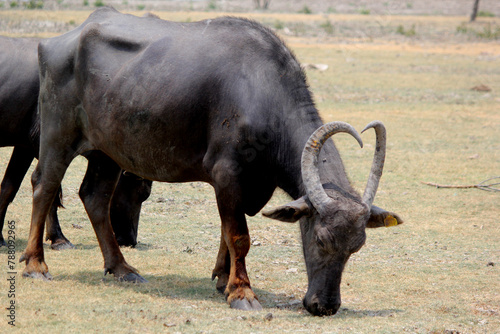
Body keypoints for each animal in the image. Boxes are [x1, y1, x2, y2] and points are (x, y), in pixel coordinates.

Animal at [0, 36, 151, 248]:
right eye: (142, 192)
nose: (131, 240)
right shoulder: (46, 146)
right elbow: (50, 189)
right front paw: (58, 238)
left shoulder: (25, 146)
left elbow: (8, 186)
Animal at [23, 8, 404, 316]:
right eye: (321, 240)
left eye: (356, 247)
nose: (324, 305)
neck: (262, 93)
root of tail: (56, 42)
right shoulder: (227, 173)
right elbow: (238, 235)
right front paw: (242, 292)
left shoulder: (242, 185)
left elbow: (226, 230)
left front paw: (223, 278)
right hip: (58, 137)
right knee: (44, 186)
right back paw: (36, 265)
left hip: (108, 152)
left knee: (95, 198)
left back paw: (121, 268)